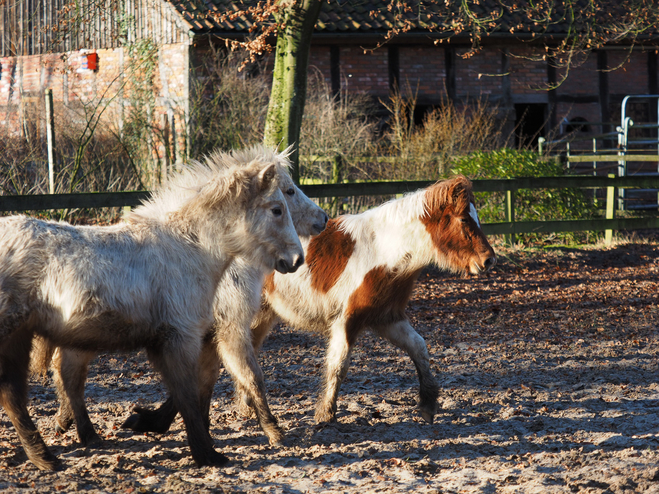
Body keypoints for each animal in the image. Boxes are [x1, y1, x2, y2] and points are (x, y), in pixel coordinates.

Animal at [0, 147, 304, 470]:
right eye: (277, 208)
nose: (297, 259)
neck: (189, 248)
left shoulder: (187, 340)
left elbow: (194, 390)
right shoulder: (182, 338)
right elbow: (189, 395)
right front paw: (206, 454)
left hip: (23, 337)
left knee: (17, 393)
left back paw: (50, 453)